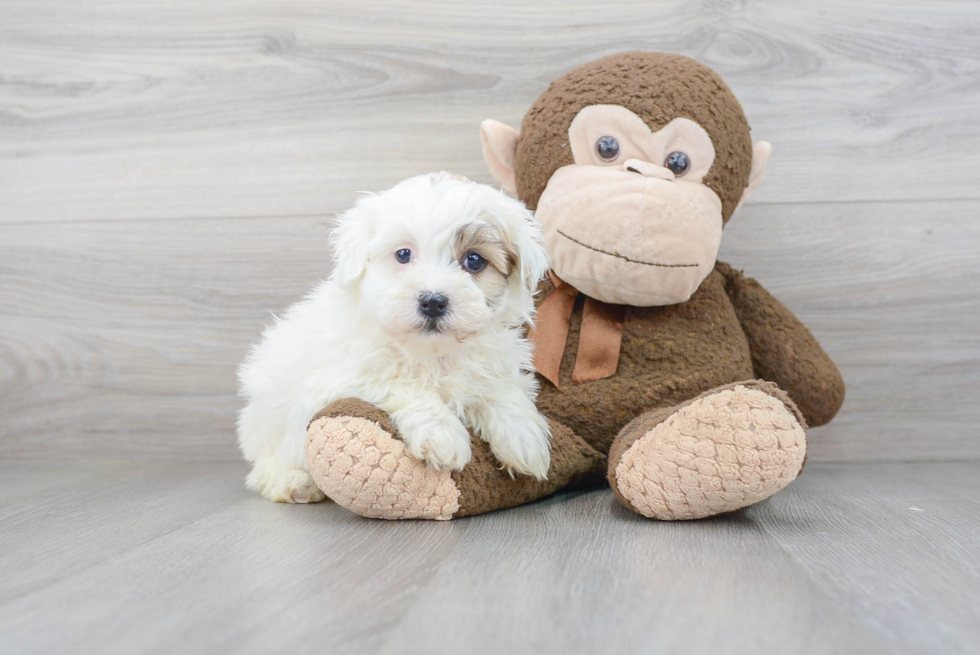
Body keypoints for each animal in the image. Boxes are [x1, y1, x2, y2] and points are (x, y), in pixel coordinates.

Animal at [236, 170, 552, 502]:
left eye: (474, 260)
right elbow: (402, 384)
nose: (433, 301)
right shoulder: (342, 378)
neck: (431, 353)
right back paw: (292, 482)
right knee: (264, 466)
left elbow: (498, 390)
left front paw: (524, 438)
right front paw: (441, 433)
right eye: (403, 254)